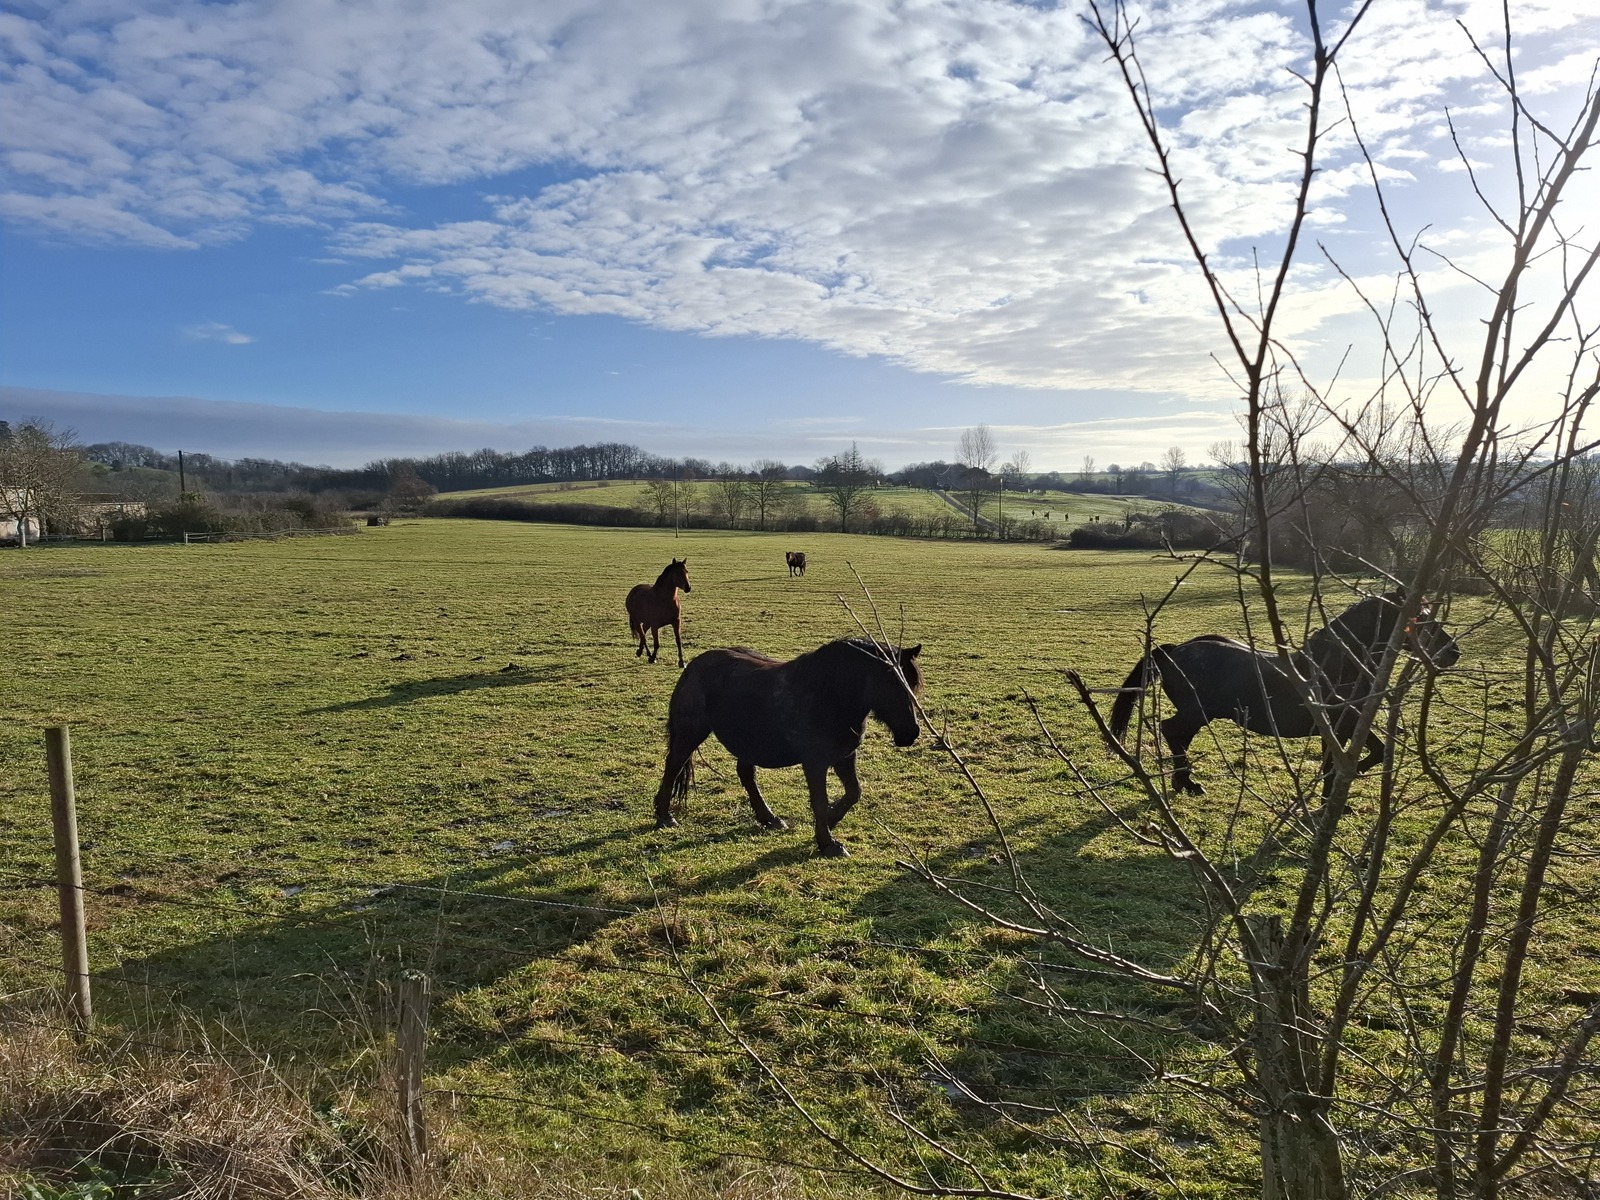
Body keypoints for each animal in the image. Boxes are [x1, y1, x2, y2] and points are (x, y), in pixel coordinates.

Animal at [651, 638, 923, 857]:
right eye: (892, 683)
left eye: (912, 684)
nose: (911, 733)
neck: (831, 695)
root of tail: (692, 666)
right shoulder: (815, 763)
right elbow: (820, 801)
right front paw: (828, 843)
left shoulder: (845, 756)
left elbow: (854, 792)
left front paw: (831, 821)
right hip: (690, 734)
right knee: (673, 765)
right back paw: (665, 816)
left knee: (746, 775)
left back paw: (769, 819)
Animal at [1108, 591, 1459, 795]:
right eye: (1421, 619)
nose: (1453, 653)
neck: (1338, 665)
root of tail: (1174, 651)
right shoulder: (1341, 726)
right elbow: (1350, 761)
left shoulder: (1345, 727)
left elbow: (1363, 756)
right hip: (1197, 714)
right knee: (1172, 732)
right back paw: (1188, 784)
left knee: (1175, 735)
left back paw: (1183, 783)